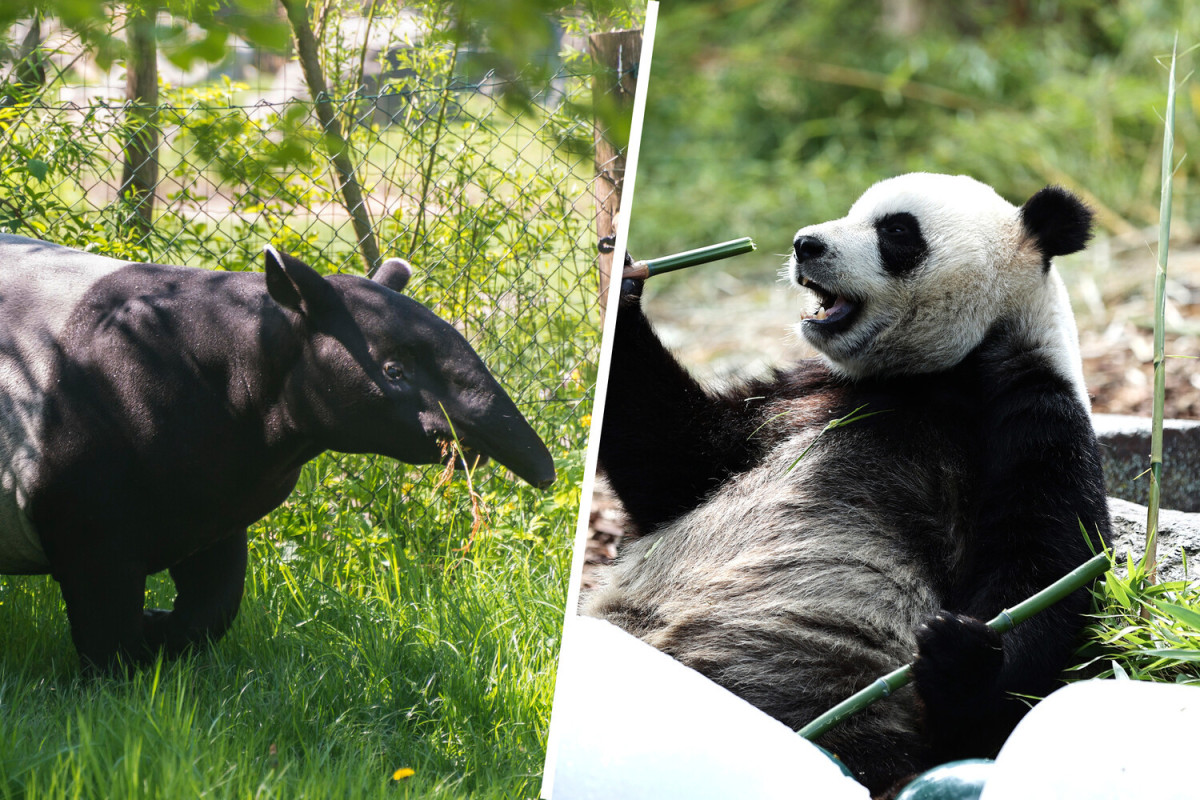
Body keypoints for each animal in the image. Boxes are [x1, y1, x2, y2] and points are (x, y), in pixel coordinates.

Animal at [585, 175, 1108, 796]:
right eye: (854, 211)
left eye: (897, 230)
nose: (805, 244)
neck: (933, 375)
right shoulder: (805, 390)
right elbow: (674, 459)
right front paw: (624, 278)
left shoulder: (1030, 415)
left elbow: (1045, 567)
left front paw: (961, 656)